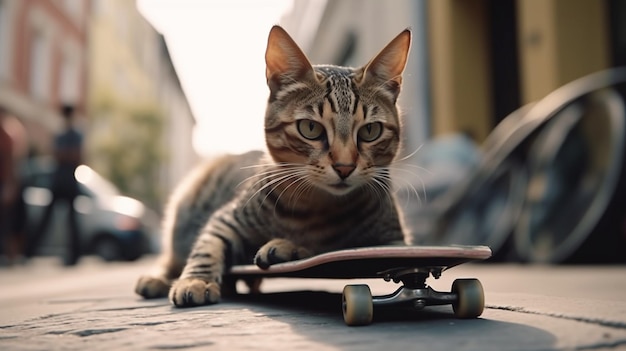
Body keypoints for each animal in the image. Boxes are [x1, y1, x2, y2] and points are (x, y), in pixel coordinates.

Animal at [134, 25, 412, 308]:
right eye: (310, 128)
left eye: (370, 131)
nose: (344, 167)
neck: (316, 207)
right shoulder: (225, 219)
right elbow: (206, 247)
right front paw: (196, 280)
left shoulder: (395, 242)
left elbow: (331, 249)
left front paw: (291, 247)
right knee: (172, 258)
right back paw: (158, 278)